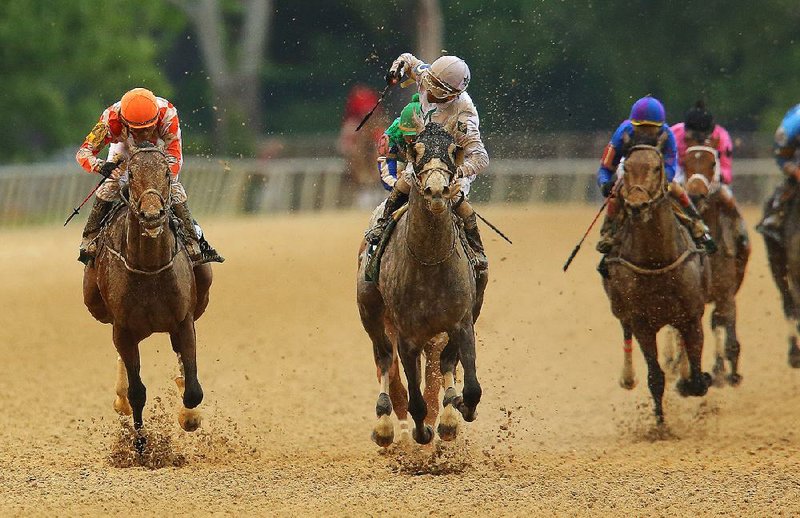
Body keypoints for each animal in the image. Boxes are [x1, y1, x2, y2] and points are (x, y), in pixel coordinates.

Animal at [82, 144, 214, 451]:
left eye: (166, 172)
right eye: (131, 174)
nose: (152, 215)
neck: (149, 268)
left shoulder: (183, 322)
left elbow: (193, 390)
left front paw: (189, 417)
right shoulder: (124, 329)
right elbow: (136, 391)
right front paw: (141, 444)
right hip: (95, 304)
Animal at [357, 121, 484, 446]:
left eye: (453, 150)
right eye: (415, 152)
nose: (437, 190)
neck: (430, 262)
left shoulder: (461, 323)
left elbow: (469, 385)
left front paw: (458, 409)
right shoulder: (407, 335)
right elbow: (415, 398)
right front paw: (420, 430)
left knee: (444, 364)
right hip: (371, 313)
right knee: (384, 359)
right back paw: (384, 423)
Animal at [604, 133, 712, 425]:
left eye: (656, 167)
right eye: (627, 167)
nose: (636, 205)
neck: (657, 261)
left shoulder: (691, 314)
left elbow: (697, 374)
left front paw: (692, 380)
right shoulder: (642, 321)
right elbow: (655, 377)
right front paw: (660, 424)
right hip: (620, 307)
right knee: (625, 330)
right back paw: (628, 377)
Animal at [682, 137, 749, 385]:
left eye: (713, 162)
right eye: (685, 162)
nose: (694, 195)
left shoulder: (725, 292)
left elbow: (724, 324)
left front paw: (732, 374)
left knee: (716, 320)